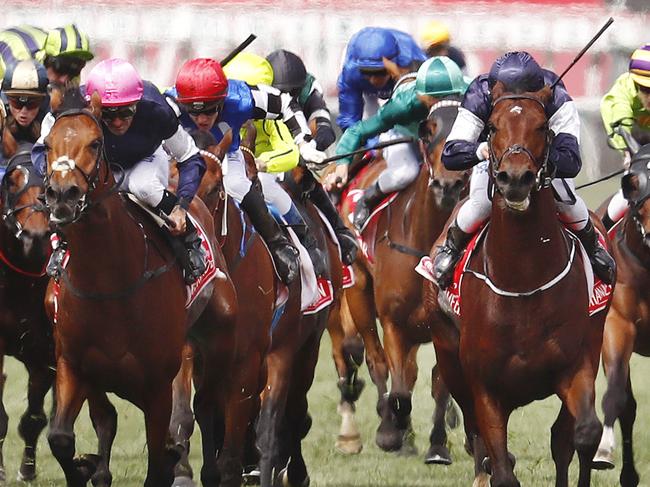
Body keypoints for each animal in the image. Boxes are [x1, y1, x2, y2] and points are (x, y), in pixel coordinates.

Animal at [41, 88, 238, 487]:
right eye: (49, 144)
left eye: (95, 142)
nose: (62, 195)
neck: (109, 283)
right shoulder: (73, 365)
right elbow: (61, 437)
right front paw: (85, 467)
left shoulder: (158, 386)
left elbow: (160, 461)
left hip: (219, 341)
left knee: (208, 405)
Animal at [334, 100, 466, 462]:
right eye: (428, 130)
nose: (449, 185)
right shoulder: (393, 321)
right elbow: (399, 386)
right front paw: (391, 432)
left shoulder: (441, 324)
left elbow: (438, 382)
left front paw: (437, 443)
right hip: (357, 289)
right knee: (376, 360)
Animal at [422, 82, 604, 486]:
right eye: (491, 127)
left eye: (542, 127)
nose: (516, 177)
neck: (524, 279)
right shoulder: (485, 389)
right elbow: (499, 464)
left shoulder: (576, 365)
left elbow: (585, 433)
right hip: (449, 356)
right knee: (473, 431)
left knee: (562, 438)